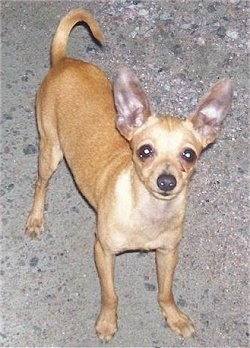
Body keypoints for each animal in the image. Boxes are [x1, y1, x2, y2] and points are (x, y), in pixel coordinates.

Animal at [25, 8, 232, 342]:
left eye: (189, 154)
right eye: (144, 151)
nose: (166, 181)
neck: (151, 213)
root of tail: (63, 61)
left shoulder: (168, 253)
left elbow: (165, 292)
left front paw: (174, 316)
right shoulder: (103, 252)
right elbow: (110, 295)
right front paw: (107, 322)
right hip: (50, 151)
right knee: (41, 184)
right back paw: (35, 218)